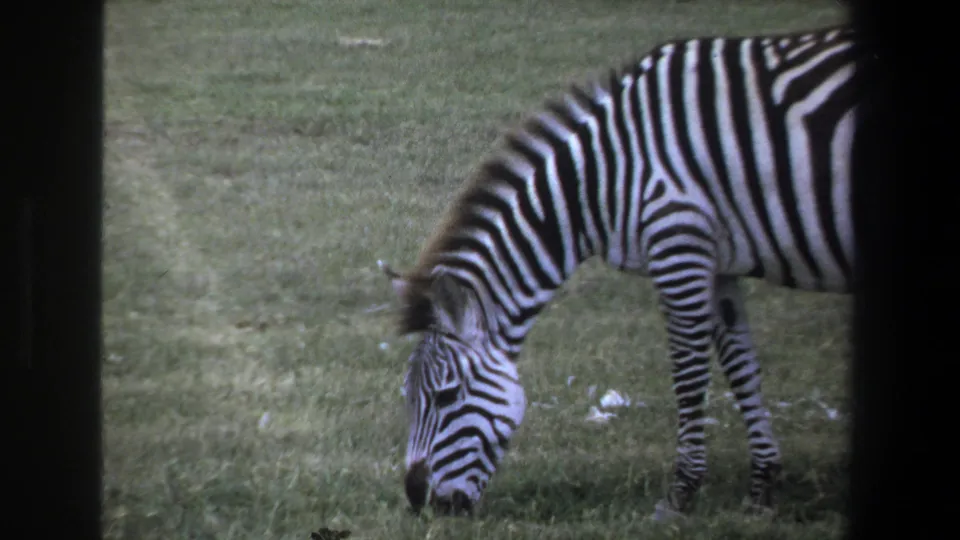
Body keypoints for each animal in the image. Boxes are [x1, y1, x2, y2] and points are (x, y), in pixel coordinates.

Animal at [383, 23, 865, 519]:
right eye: (408, 397)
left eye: (446, 396)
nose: (418, 501)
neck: (600, 179)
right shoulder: (716, 263)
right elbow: (741, 367)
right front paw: (763, 487)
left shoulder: (678, 244)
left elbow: (689, 375)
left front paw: (681, 493)